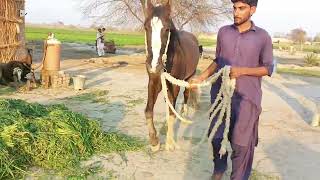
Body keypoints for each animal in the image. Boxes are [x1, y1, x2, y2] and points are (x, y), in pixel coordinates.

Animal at [144, 0, 200, 152]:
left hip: (188, 78)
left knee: (185, 95)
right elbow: (148, 111)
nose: (154, 65)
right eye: (145, 27)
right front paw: (154, 142)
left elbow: (171, 112)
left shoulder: (175, 84)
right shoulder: (153, 82)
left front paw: (169, 143)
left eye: (167, 29)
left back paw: (184, 112)